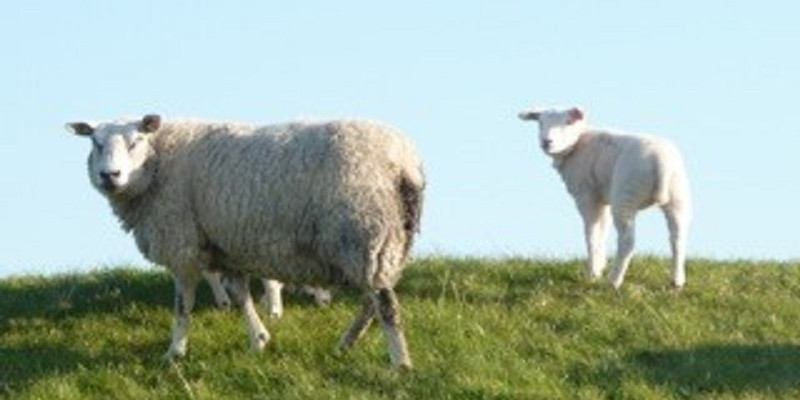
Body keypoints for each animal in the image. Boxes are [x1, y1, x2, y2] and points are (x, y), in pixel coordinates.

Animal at [65, 113, 424, 368]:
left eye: (136, 140)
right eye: (95, 143)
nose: (109, 176)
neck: (159, 163)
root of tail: (404, 161)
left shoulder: (182, 245)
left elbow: (183, 305)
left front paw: (174, 353)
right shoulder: (225, 248)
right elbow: (240, 297)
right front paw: (259, 340)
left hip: (364, 234)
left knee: (385, 303)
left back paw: (400, 364)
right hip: (385, 241)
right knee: (372, 300)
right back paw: (346, 344)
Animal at [520, 106, 688, 288]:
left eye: (568, 122)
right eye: (540, 122)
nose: (546, 142)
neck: (577, 145)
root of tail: (660, 161)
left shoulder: (586, 195)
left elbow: (591, 234)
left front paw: (593, 273)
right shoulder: (603, 197)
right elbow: (603, 230)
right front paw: (600, 266)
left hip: (625, 195)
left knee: (627, 241)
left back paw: (614, 282)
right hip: (678, 195)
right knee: (678, 237)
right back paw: (677, 281)